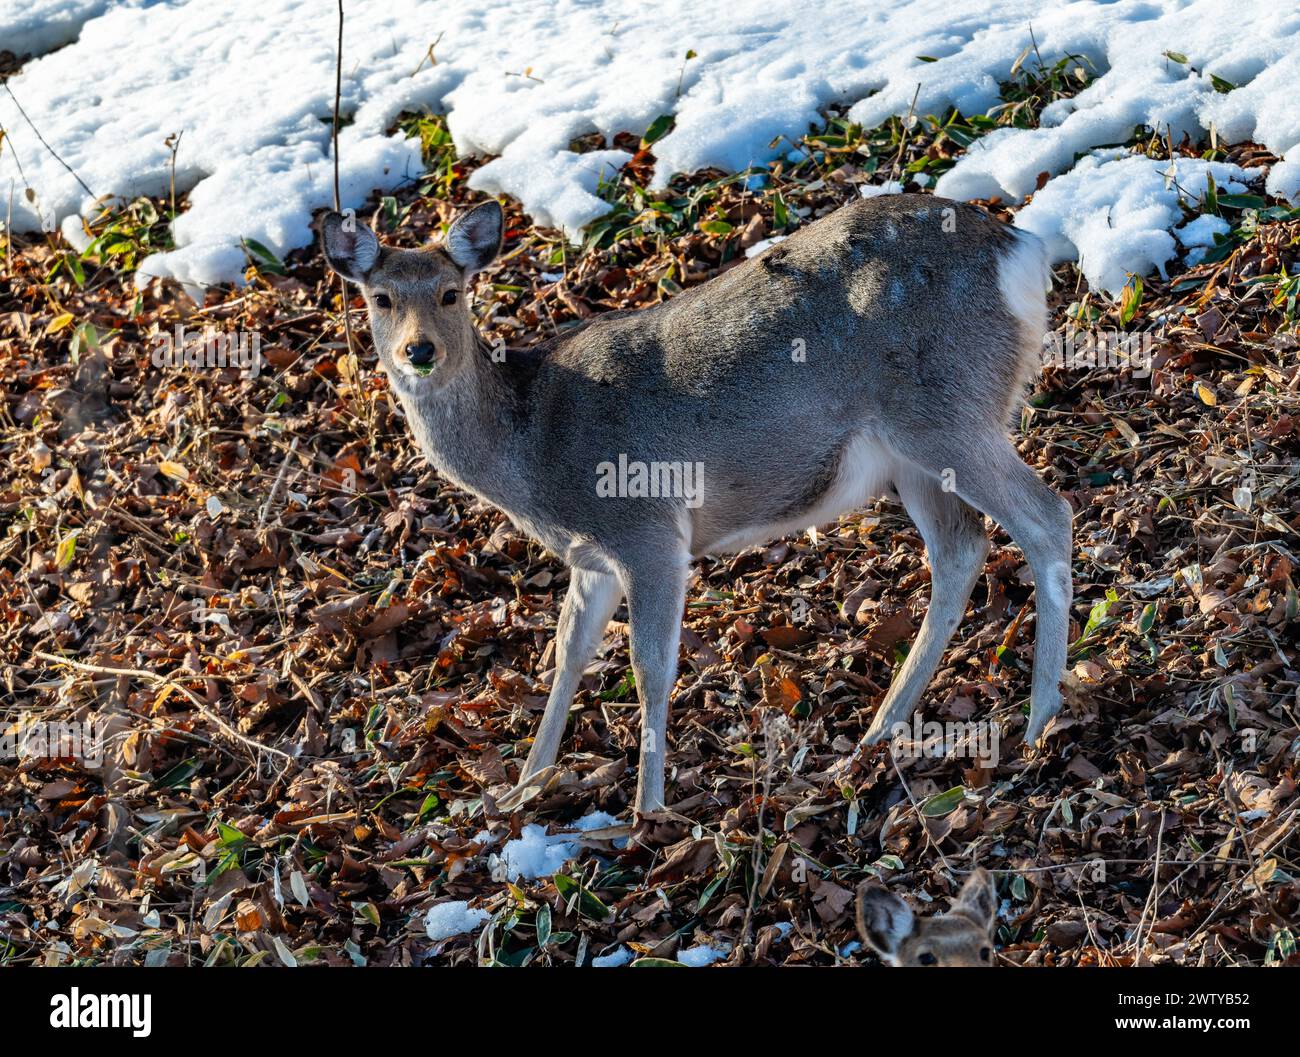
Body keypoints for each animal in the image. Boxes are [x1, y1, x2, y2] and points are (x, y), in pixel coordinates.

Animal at [318, 191, 1073, 820]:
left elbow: (650, 666)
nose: (419, 351)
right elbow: (566, 653)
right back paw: (881, 730)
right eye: (380, 298)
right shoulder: (590, 557)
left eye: (451, 293)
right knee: (962, 547)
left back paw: (1039, 720)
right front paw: (521, 789)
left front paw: (646, 808)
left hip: (945, 407)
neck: (531, 453)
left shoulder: (646, 529)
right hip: (912, 455)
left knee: (1047, 515)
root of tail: (1022, 249)